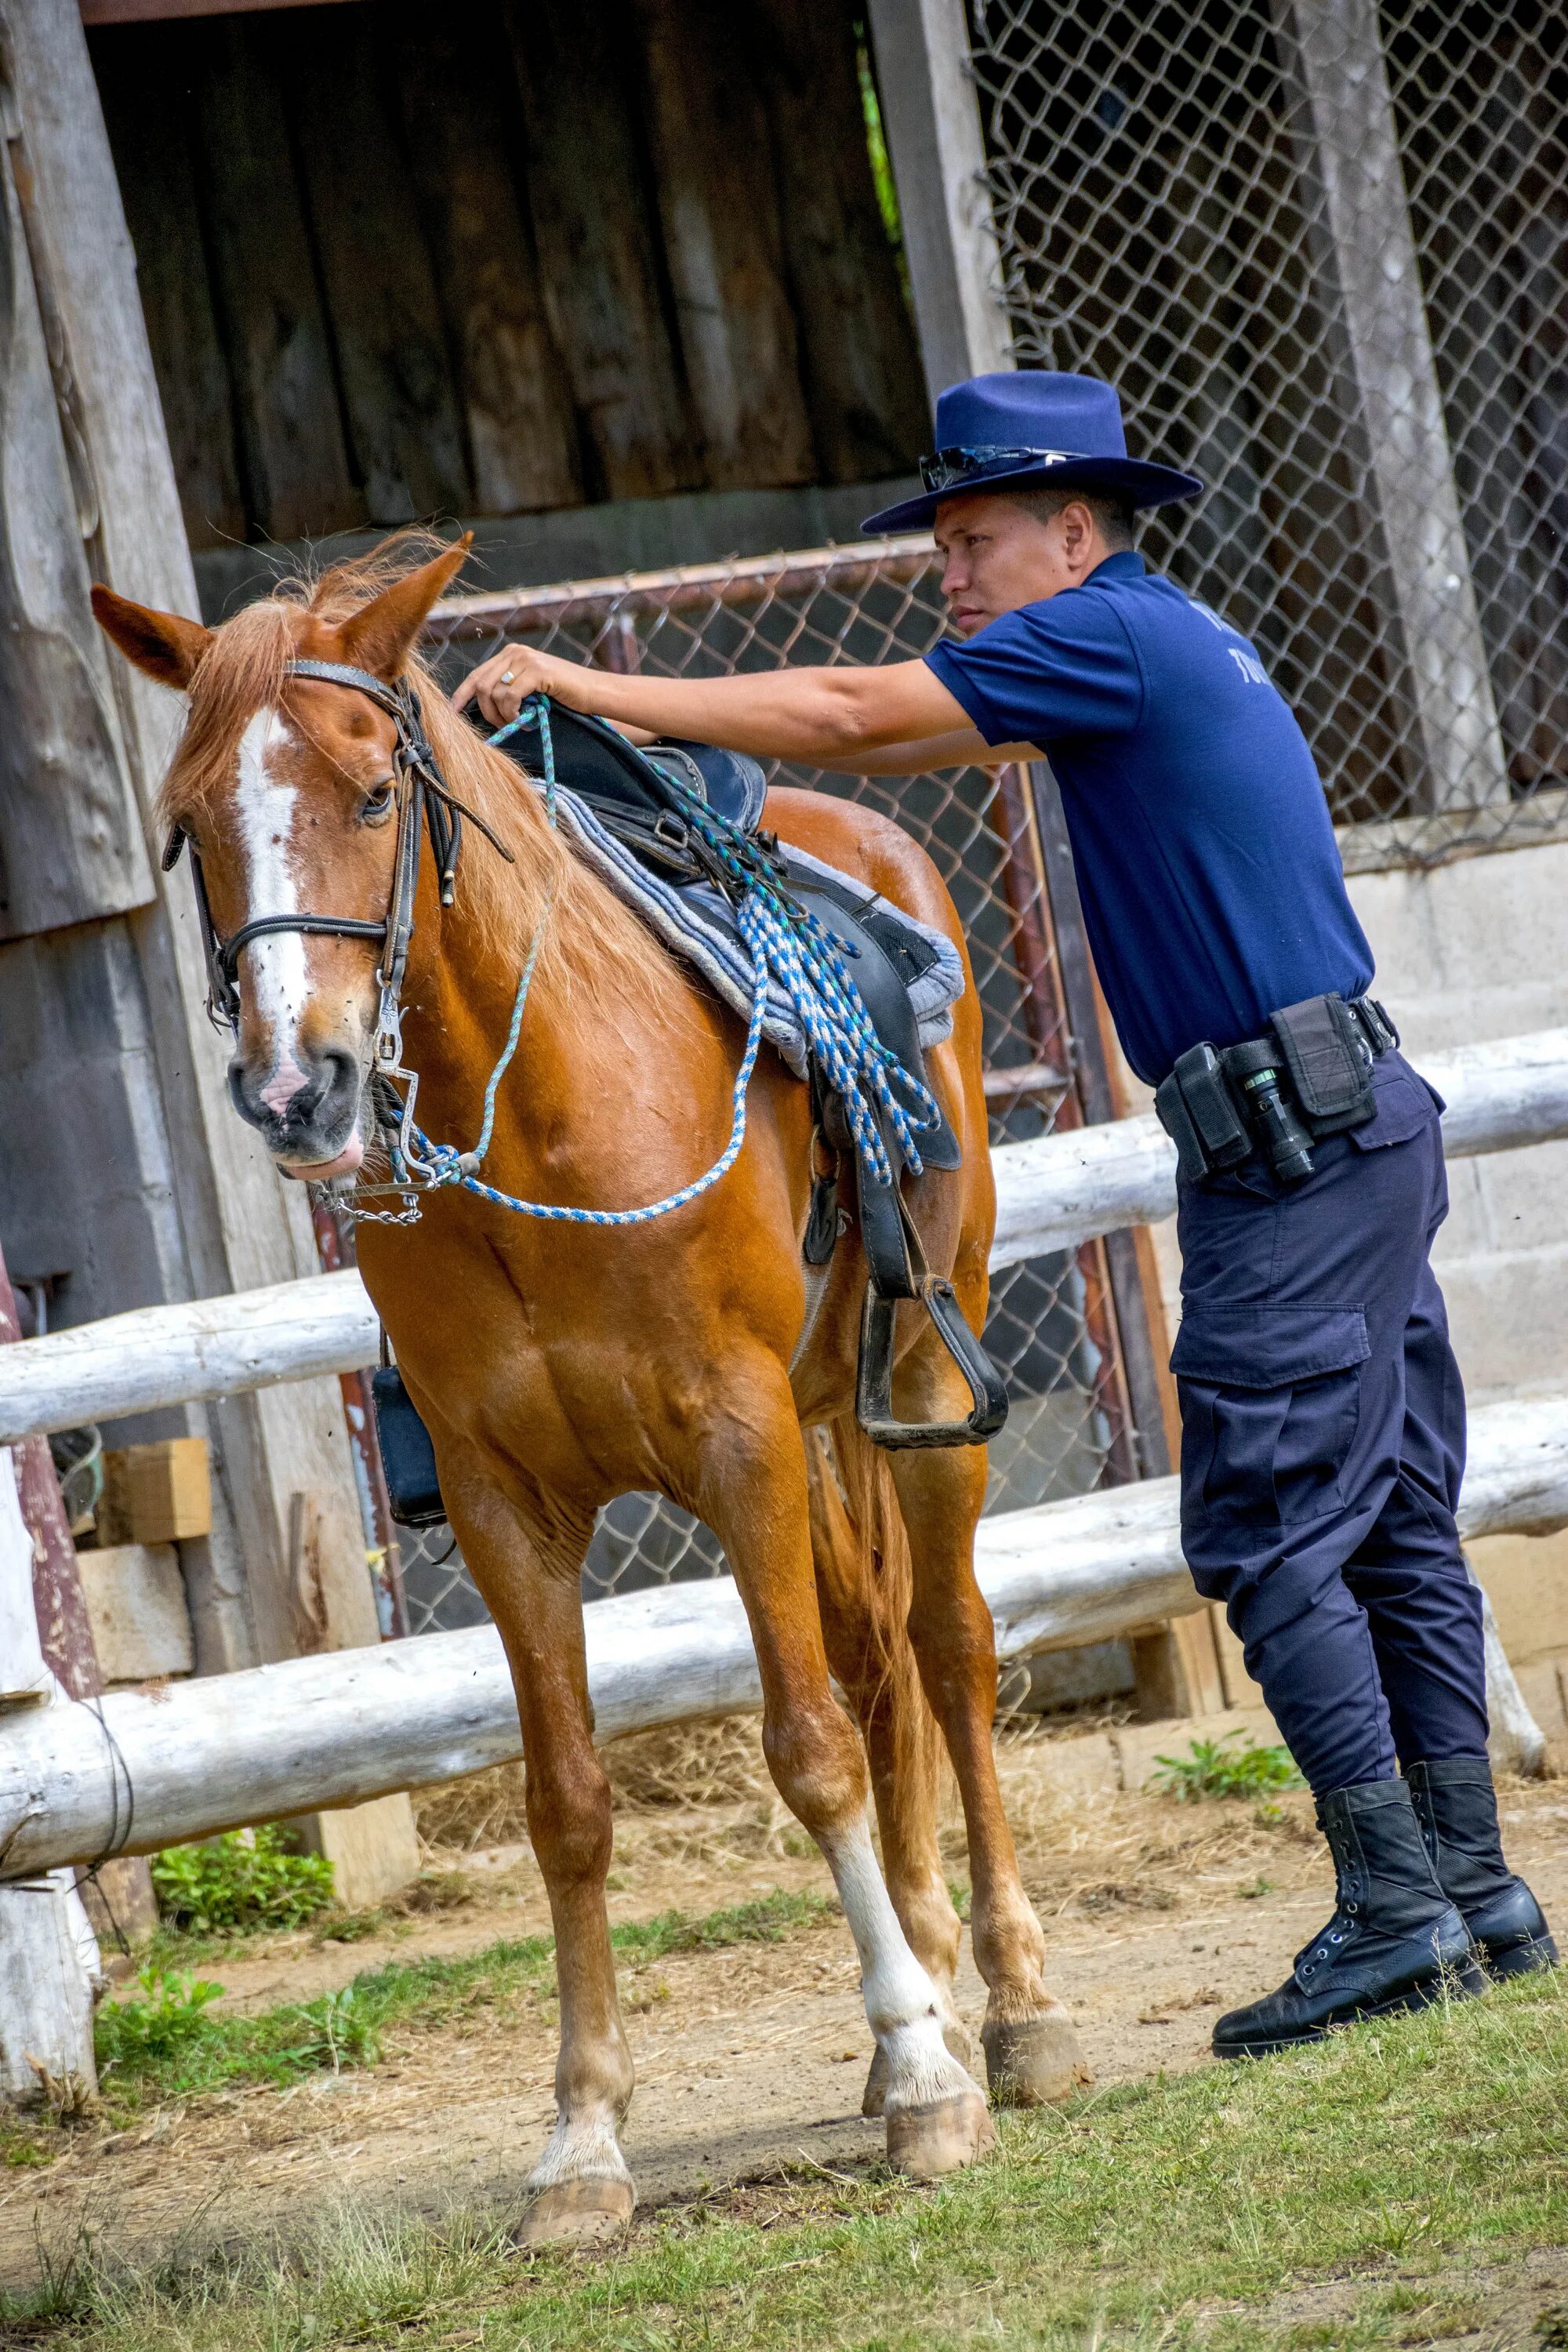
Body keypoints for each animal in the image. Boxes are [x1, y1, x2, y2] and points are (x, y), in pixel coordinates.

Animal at [92, 539, 1086, 2239]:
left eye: (372, 792)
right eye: (188, 822)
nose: (297, 1089)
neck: (539, 1113)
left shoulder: (738, 1441)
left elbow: (805, 1750)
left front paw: (925, 2082)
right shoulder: (510, 1505)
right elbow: (567, 1804)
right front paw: (584, 2144)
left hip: (910, 1379)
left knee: (949, 1652)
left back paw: (1010, 2014)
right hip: (827, 1424)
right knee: (877, 1654)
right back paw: (932, 1977)